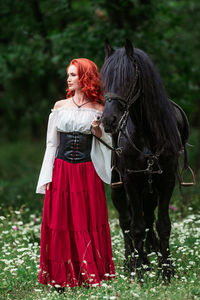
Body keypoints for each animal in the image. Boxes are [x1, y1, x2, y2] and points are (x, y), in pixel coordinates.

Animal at [101, 39, 190, 282]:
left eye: (128, 79)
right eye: (104, 80)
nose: (108, 121)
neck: (148, 135)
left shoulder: (166, 181)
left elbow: (163, 225)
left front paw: (166, 270)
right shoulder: (130, 181)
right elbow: (136, 227)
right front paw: (139, 272)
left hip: (150, 190)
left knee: (148, 219)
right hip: (118, 187)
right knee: (126, 222)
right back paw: (130, 262)